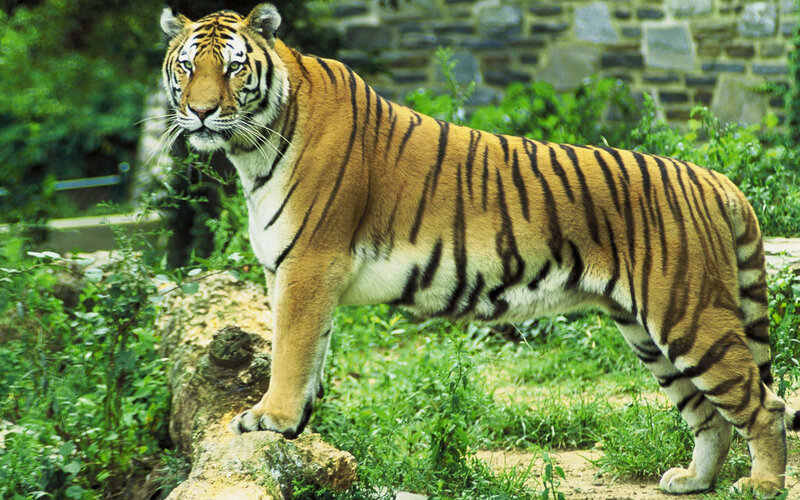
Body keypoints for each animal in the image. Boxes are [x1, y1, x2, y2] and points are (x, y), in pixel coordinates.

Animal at [159, 3, 797, 495]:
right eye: (187, 67)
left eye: (234, 68)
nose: (201, 111)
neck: (253, 149)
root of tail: (714, 179)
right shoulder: (292, 272)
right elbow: (309, 351)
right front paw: (296, 426)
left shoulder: (309, 264)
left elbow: (290, 351)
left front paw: (271, 418)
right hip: (648, 332)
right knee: (710, 416)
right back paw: (693, 481)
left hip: (689, 315)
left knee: (765, 406)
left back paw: (761, 485)